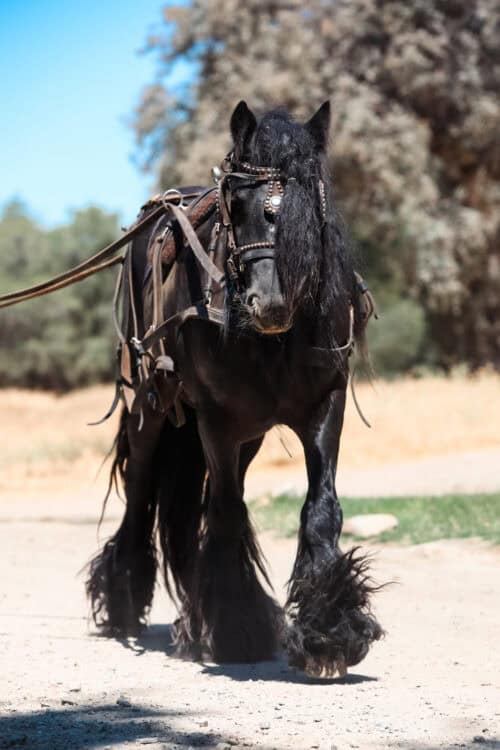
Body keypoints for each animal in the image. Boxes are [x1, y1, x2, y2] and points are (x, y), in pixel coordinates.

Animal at [86, 100, 383, 676]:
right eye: (237, 202)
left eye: (309, 202)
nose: (270, 305)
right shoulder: (216, 420)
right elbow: (223, 511)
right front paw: (233, 630)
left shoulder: (323, 406)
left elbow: (320, 509)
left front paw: (330, 632)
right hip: (152, 410)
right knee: (142, 492)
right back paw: (125, 604)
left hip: (249, 434)